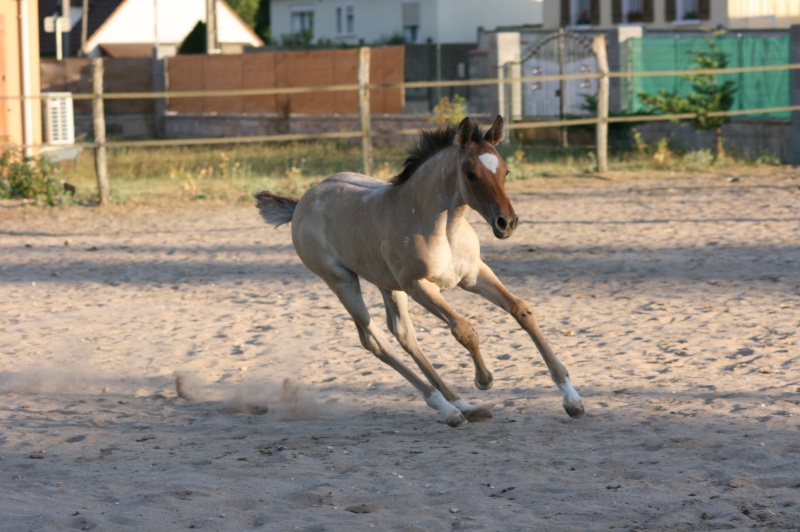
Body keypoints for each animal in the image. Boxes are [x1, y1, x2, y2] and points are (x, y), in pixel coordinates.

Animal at [255, 116, 580, 428]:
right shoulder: (419, 286)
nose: (506, 223)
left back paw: (464, 406)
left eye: (506, 171)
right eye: (471, 175)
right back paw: (449, 410)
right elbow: (464, 329)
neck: (444, 227)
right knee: (374, 340)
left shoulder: (473, 274)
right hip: (342, 281)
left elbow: (520, 310)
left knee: (402, 334)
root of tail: (301, 203)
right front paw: (484, 379)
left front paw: (572, 399)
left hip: (387, 285)